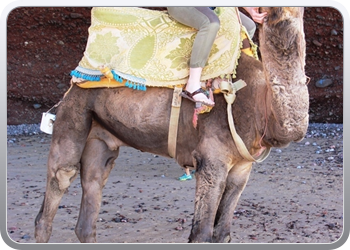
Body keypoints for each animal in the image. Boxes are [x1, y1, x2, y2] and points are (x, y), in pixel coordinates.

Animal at [34, 6, 308, 243]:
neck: (259, 107)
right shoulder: (212, 160)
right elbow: (201, 234)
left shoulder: (242, 169)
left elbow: (223, 234)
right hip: (75, 110)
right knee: (59, 184)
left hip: (100, 139)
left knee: (91, 194)